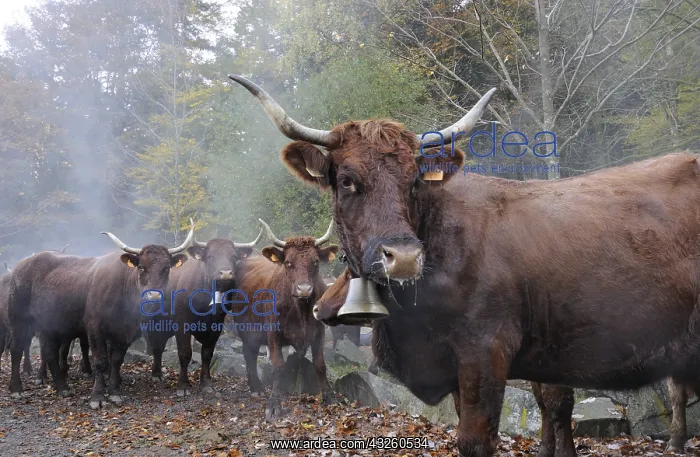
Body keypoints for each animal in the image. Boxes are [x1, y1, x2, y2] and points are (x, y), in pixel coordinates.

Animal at [146, 227, 262, 396]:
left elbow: (207, 354)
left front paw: (207, 383)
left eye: (233, 256)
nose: (226, 273)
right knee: (155, 345)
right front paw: (183, 386)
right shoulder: (182, 324)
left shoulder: (217, 325)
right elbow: (185, 353)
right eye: (210, 256)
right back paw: (156, 374)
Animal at [234, 218, 338, 420]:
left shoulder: (319, 332)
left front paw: (329, 397)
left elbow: (320, 364)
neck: (301, 311)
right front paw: (274, 404)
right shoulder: (273, 335)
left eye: (315, 262)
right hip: (246, 328)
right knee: (249, 353)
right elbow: (278, 367)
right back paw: (256, 386)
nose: (304, 289)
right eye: (288, 263)